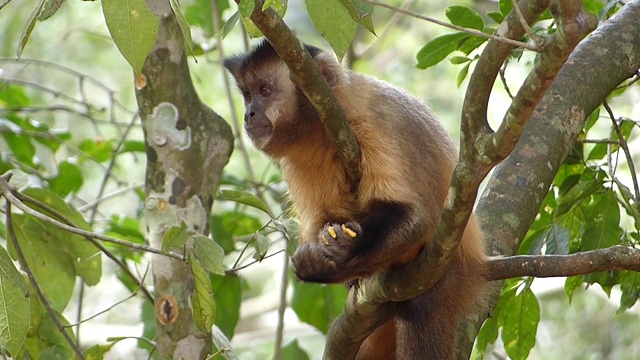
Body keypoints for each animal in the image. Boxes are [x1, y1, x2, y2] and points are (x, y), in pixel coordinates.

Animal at [224, 40, 484, 360]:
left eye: (264, 90)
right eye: (248, 95)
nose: (249, 113)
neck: (325, 127)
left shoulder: (374, 121)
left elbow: (413, 217)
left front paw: (346, 248)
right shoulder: (296, 160)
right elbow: (323, 220)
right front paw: (318, 265)